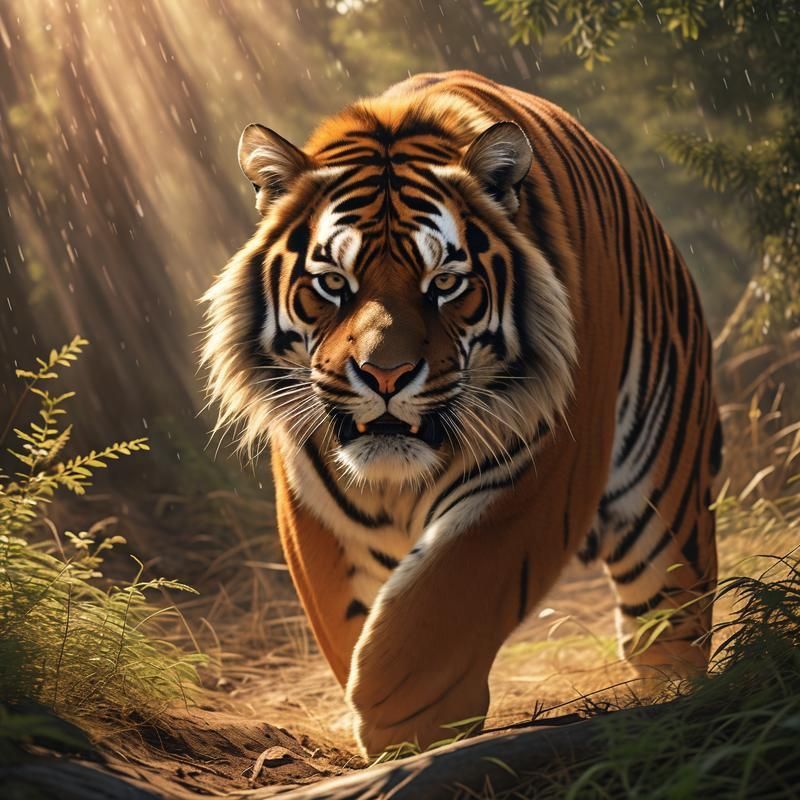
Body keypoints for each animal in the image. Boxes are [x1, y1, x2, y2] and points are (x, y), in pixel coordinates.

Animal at [202, 70, 721, 756]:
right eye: (333, 283)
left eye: (444, 283)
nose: (385, 375)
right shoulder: (312, 504)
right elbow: (352, 620)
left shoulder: (537, 477)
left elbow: (431, 612)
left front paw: (405, 732)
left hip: (664, 498)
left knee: (670, 617)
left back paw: (671, 702)